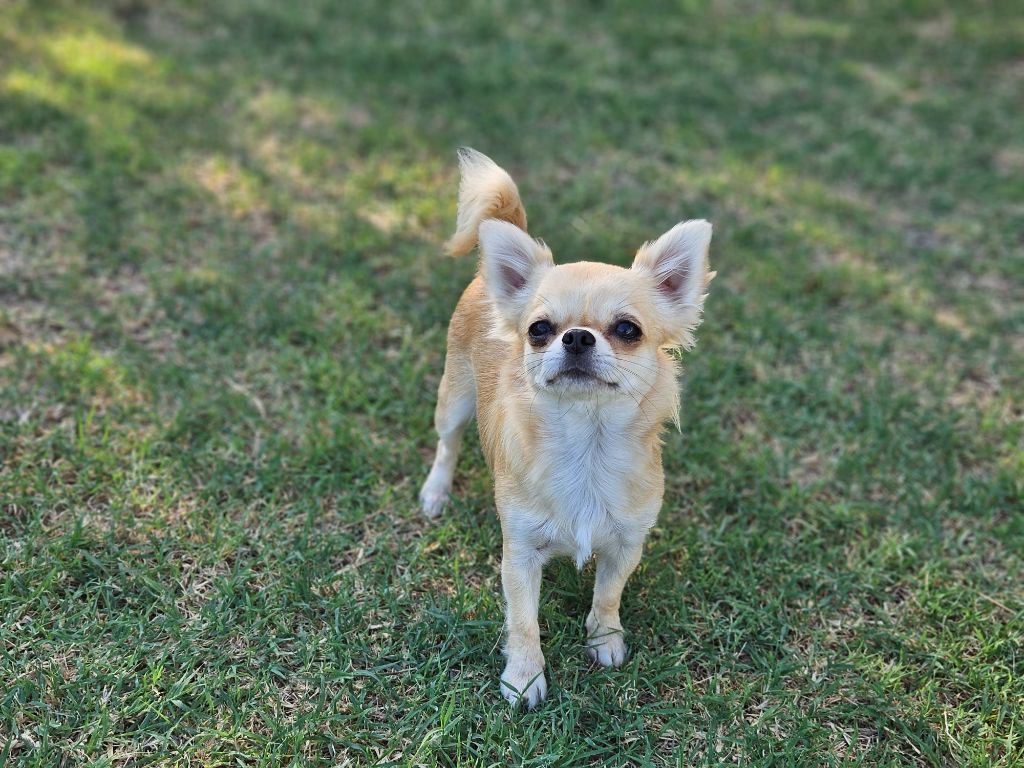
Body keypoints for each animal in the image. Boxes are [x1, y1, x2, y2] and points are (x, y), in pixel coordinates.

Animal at [419, 148, 714, 707]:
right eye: (539, 330)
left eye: (627, 330)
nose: (576, 337)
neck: (587, 443)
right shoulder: (519, 553)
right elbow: (523, 622)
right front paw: (524, 676)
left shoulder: (625, 545)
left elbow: (607, 595)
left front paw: (605, 640)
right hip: (455, 398)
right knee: (447, 445)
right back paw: (435, 492)